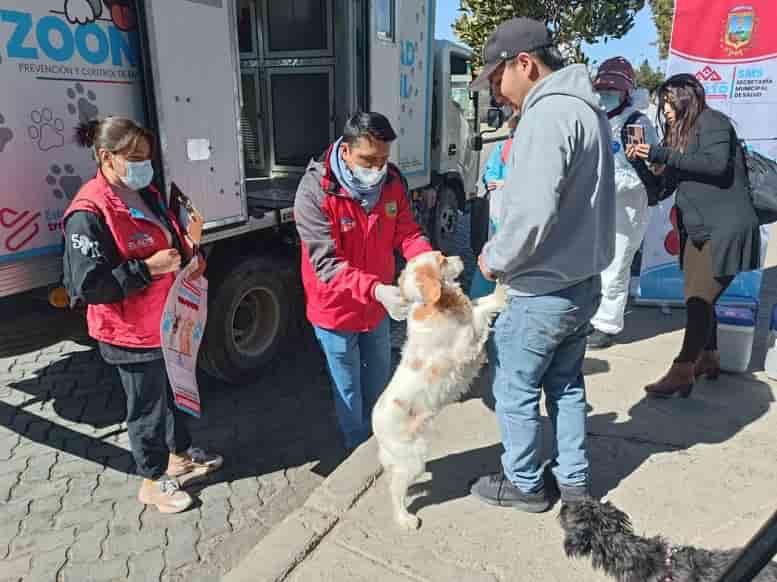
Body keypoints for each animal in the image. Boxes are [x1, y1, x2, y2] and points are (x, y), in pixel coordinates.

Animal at [372, 253, 506, 532]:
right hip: (413, 459)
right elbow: (480, 313)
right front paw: (502, 291)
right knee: (396, 491)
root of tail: (376, 428)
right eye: (442, 260)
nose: (460, 257)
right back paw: (406, 519)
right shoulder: (464, 344)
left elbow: (480, 303)